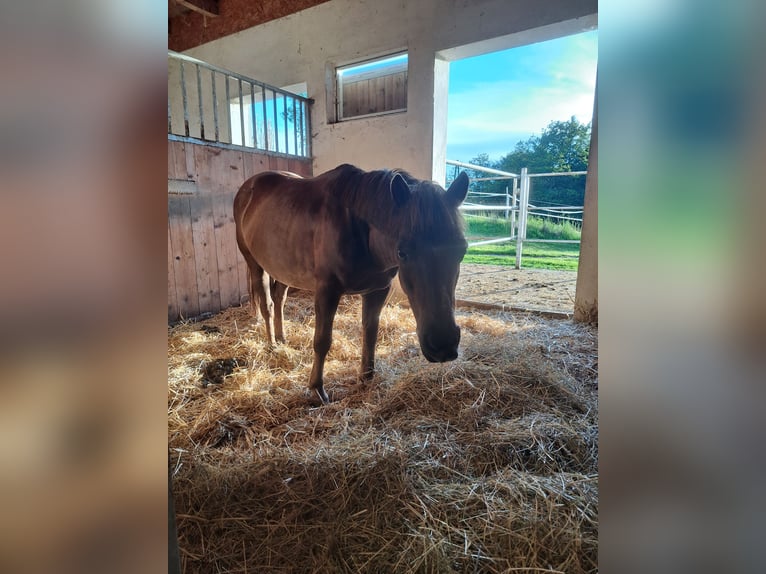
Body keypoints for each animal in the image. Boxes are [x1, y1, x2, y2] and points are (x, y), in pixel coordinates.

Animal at [231, 163, 472, 404]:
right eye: (402, 252)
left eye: (462, 250)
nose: (442, 344)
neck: (359, 229)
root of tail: (248, 186)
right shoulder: (327, 291)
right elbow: (322, 341)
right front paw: (317, 389)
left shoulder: (378, 290)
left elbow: (371, 331)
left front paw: (367, 375)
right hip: (255, 264)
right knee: (267, 305)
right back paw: (272, 345)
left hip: (285, 269)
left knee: (279, 298)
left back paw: (282, 339)